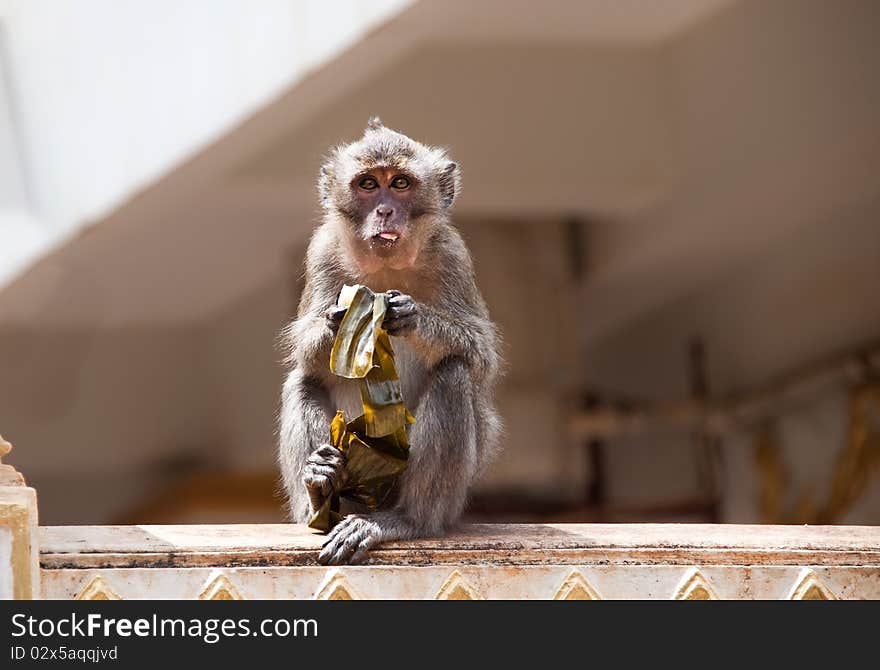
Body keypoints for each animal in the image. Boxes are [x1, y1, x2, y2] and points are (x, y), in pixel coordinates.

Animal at [282, 117, 502, 568]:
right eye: (368, 184)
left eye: (400, 183)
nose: (385, 210)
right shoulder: (321, 251)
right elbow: (303, 350)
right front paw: (337, 321)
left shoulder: (454, 255)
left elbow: (480, 356)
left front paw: (410, 316)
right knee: (303, 380)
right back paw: (320, 489)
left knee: (453, 373)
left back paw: (404, 520)